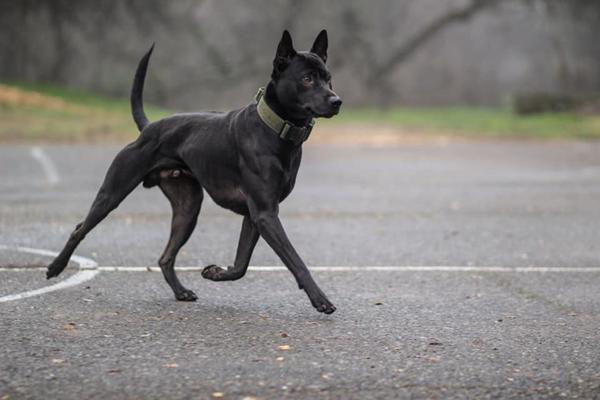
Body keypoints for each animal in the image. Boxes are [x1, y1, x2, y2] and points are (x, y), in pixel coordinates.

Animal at [45, 29, 342, 314]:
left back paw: (180, 292)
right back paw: (55, 267)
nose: (337, 101)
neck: (274, 129)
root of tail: (149, 127)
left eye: (328, 78)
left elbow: (241, 265)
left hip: (188, 208)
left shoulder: (255, 216)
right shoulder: (265, 214)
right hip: (112, 194)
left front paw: (215, 273)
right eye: (307, 78)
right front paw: (320, 299)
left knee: (165, 258)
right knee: (79, 229)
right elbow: (295, 260)